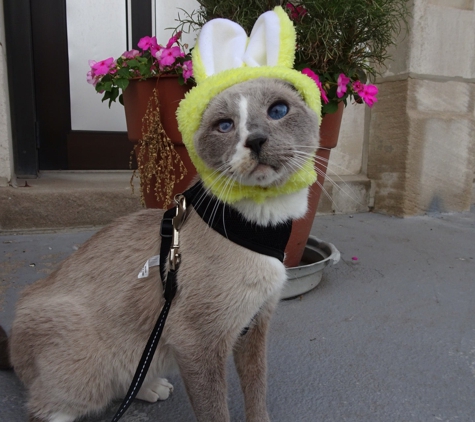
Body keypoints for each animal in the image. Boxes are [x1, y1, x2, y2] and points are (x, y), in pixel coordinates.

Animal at [0, 77, 320, 420]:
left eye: (278, 110)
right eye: (225, 125)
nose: (256, 140)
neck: (260, 227)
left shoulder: (256, 325)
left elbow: (256, 394)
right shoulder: (198, 343)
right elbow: (216, 411)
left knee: (129, 379)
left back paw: (151, 388)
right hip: (85, 368)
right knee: (49, 407)